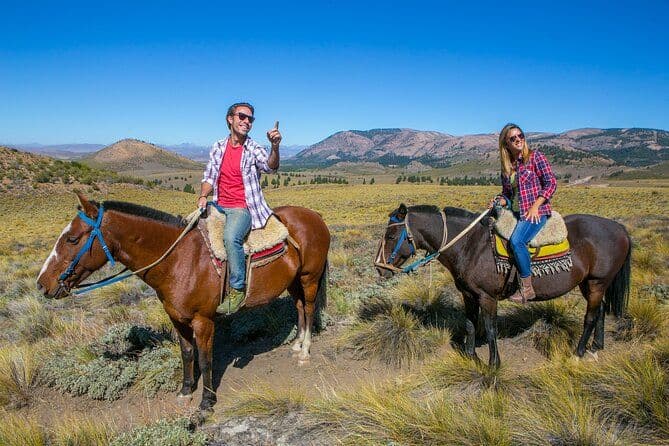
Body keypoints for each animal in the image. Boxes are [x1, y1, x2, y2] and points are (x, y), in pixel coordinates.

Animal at [37, 193, 330, 412]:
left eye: (72, 238)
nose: (42, 284)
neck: (179, 259)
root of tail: (315, 216)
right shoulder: (176, 318)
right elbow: (187, 354)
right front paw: (186, 390)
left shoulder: (204, 320)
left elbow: (206, 359)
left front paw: (207, 401)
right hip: (293, 281)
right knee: (299, 307)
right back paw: (296, 344)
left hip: (309, 277)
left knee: (309, 307)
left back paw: (305, 351)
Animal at [375, 203, 631, 367]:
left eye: (390, 237)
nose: (379, 268)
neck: (470, 245)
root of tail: (620, 228)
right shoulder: (468, 294)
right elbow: (470, 324)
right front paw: (471, 356)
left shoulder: (487, 297)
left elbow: (490, 328)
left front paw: (493, 364)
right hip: (588, 283)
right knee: (600, 310)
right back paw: (596, 347)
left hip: (597, 282)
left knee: (590, 316)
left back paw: (578, 353)